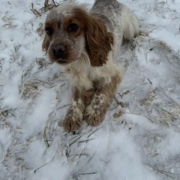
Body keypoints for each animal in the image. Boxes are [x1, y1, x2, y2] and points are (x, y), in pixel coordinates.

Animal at [42, 0, 139, 130]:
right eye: (48, 30)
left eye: (73, 27)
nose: (57, 50)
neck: (84, 59)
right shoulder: (79, 80)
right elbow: (76, 98)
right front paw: (72, 117)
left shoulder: (111, 73)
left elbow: (101, 93)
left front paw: (94, 112)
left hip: (131, 29)